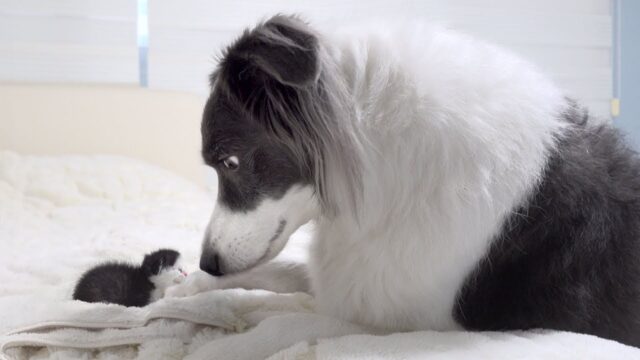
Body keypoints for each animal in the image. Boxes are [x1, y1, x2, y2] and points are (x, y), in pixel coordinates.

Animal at [170, 15, 640, 348]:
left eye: (229, 162)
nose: (208, 261)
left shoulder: (410, 323)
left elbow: (285, 322)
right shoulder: (363, 272)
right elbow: (283, 273)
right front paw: (191, 288)